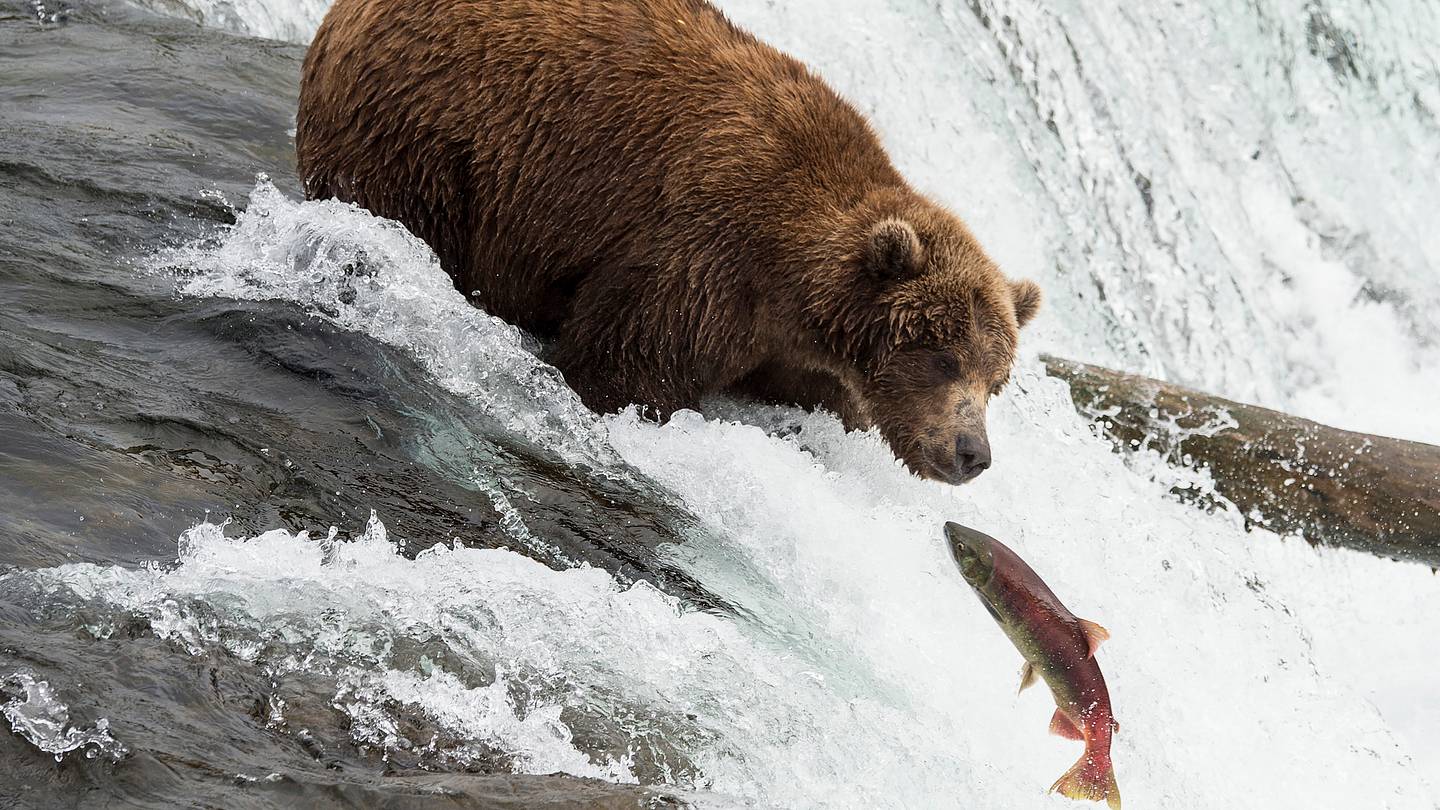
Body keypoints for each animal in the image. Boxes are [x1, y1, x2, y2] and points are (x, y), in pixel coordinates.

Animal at [296, 0, 1040, 484]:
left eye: (997, 379)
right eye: (943, 358)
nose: (973, 454)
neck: (793, 281)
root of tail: (343, 13)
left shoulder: (793, 351)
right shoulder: (705, 254)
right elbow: (628, 366)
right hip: (427, 132)